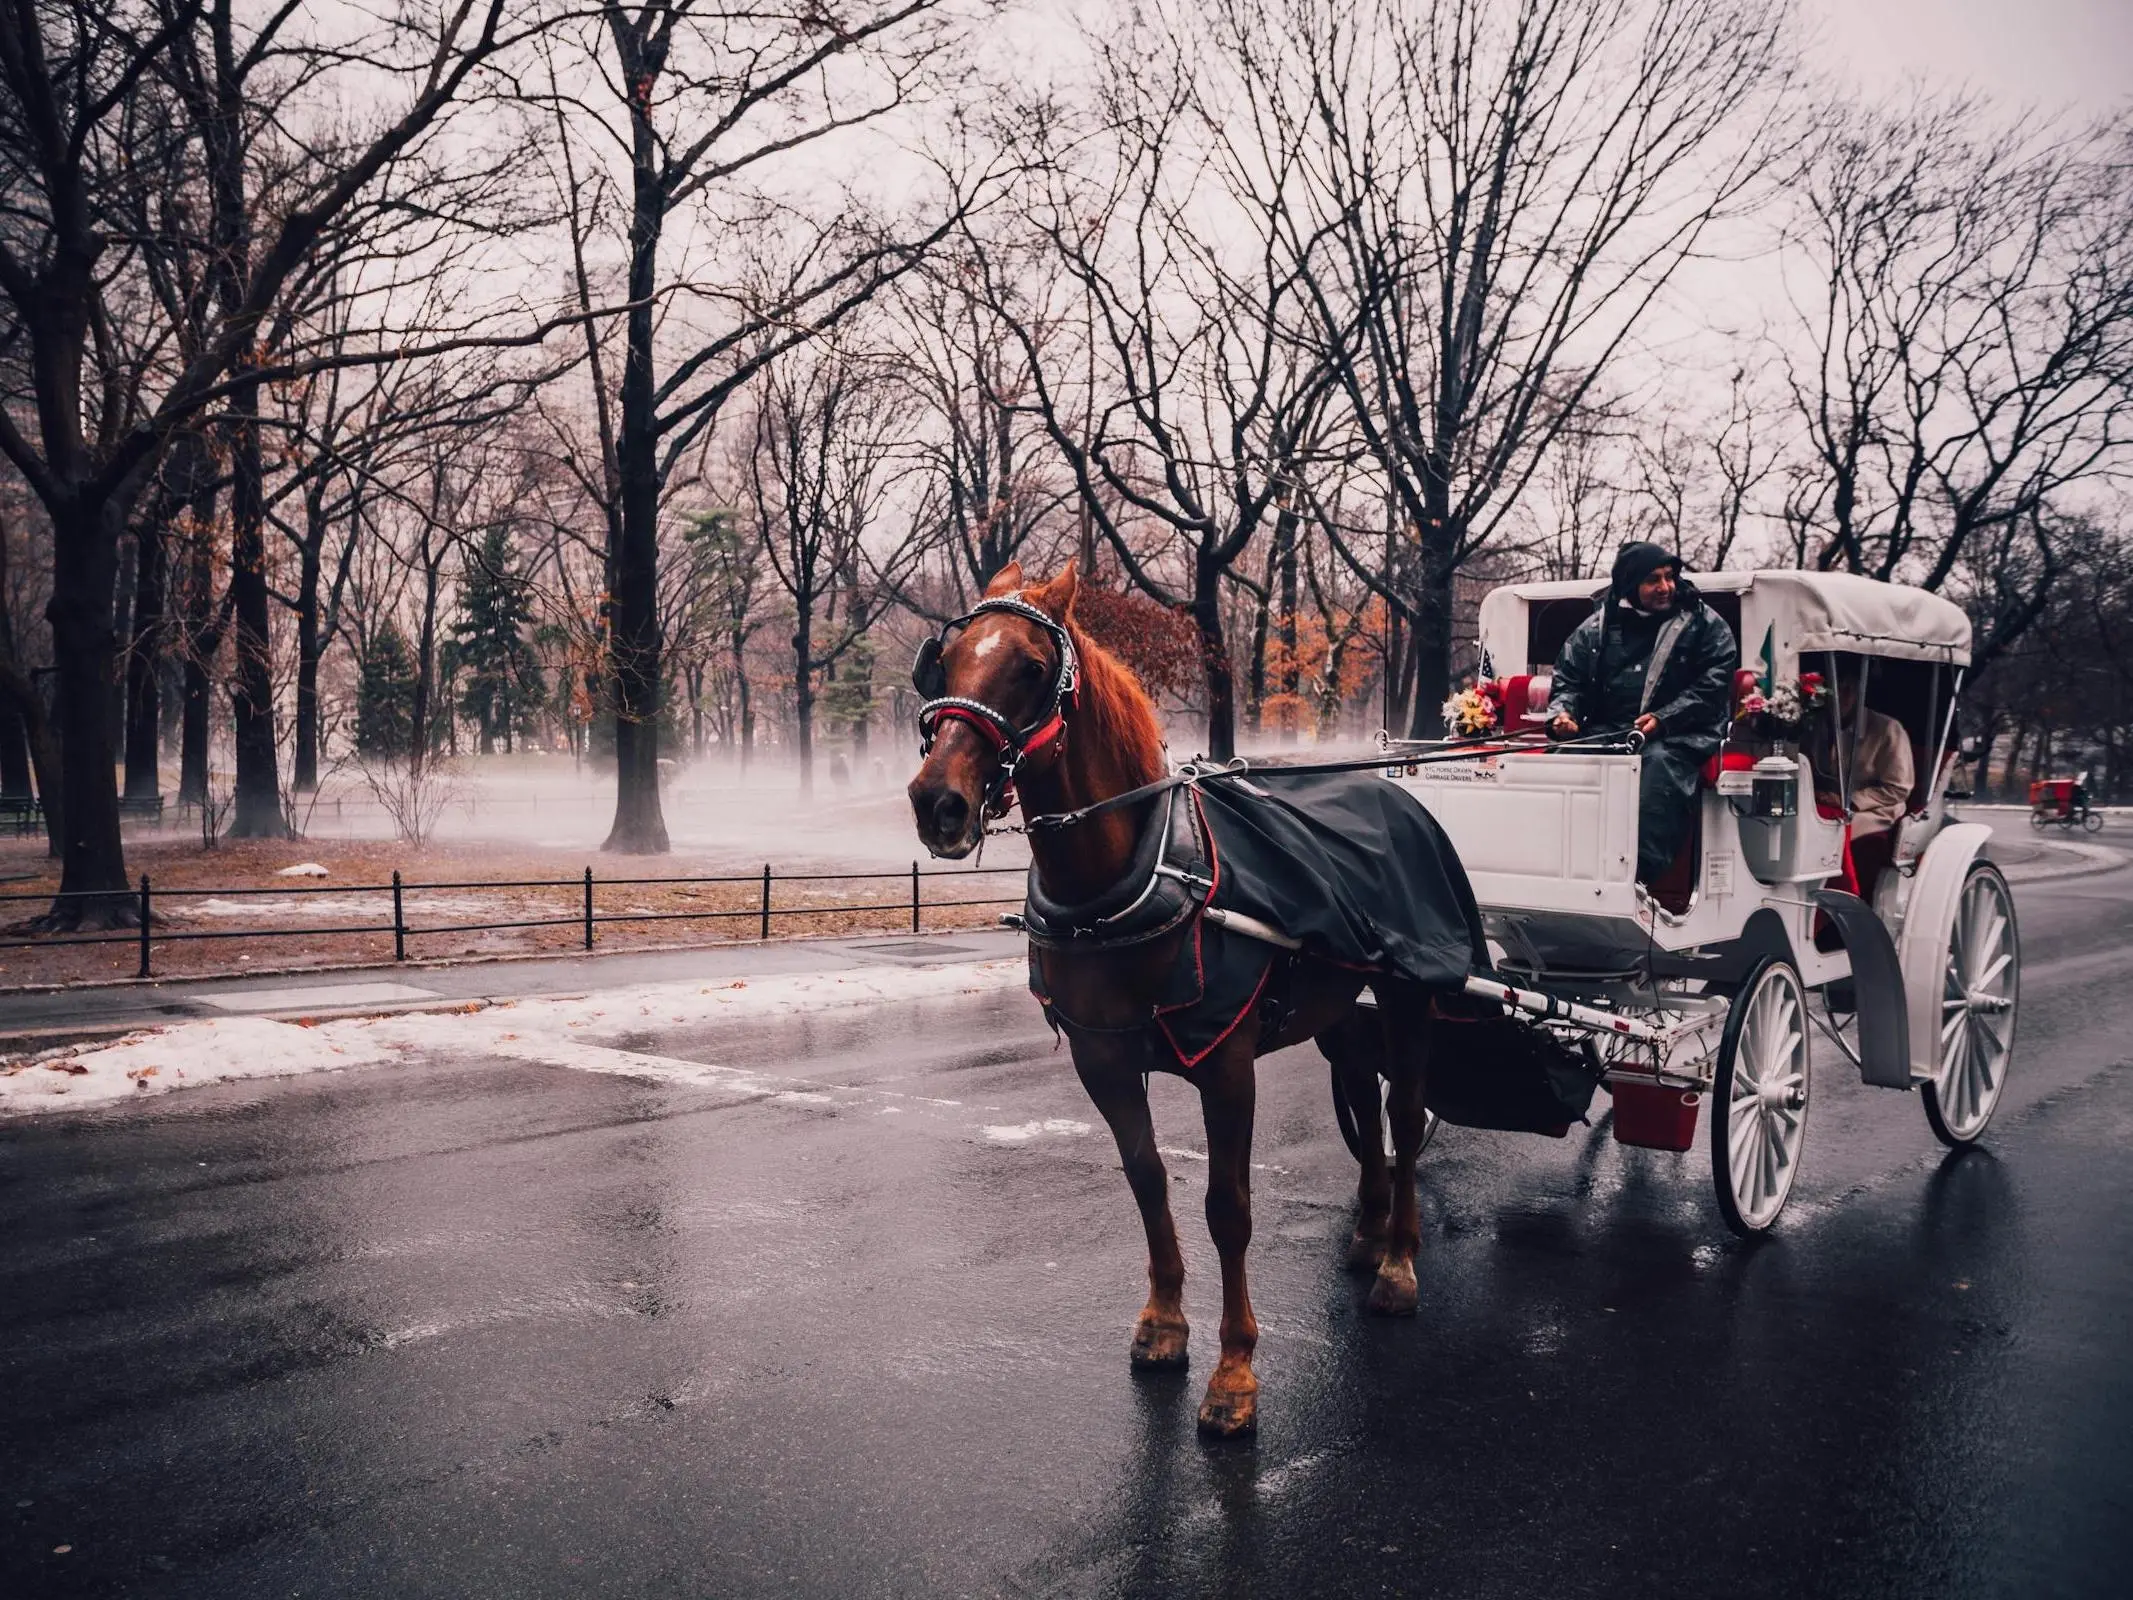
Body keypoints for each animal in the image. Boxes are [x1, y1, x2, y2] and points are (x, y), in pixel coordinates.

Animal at [908, 563, 1441, 1442]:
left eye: (1029, 668)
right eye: (943, 663)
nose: (936, 802)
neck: (1129, 878)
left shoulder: (1226, 1063)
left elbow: (1228, 1207)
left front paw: (1234, 1373)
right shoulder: (1103, 1058)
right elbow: (1147, 1179)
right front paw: (1163, 1323)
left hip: (1407, 993)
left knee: (1401, 1113)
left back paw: (1397, 1261)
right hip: (1336, 1006)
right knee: (1363, 1094)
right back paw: (1366, 1232)